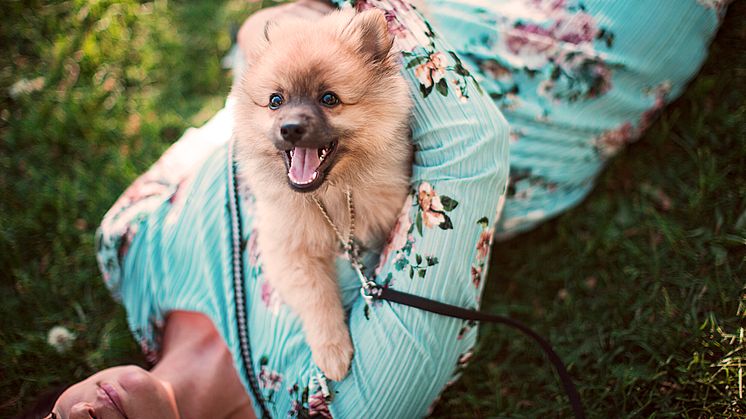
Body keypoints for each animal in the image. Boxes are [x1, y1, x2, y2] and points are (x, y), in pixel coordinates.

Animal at [231, 9, 410, 384]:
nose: (290, 129)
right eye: (275, 101)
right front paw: (333, 351)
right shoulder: (288, 249)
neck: (329, 198)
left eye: (329, 99)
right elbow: (316, 297)